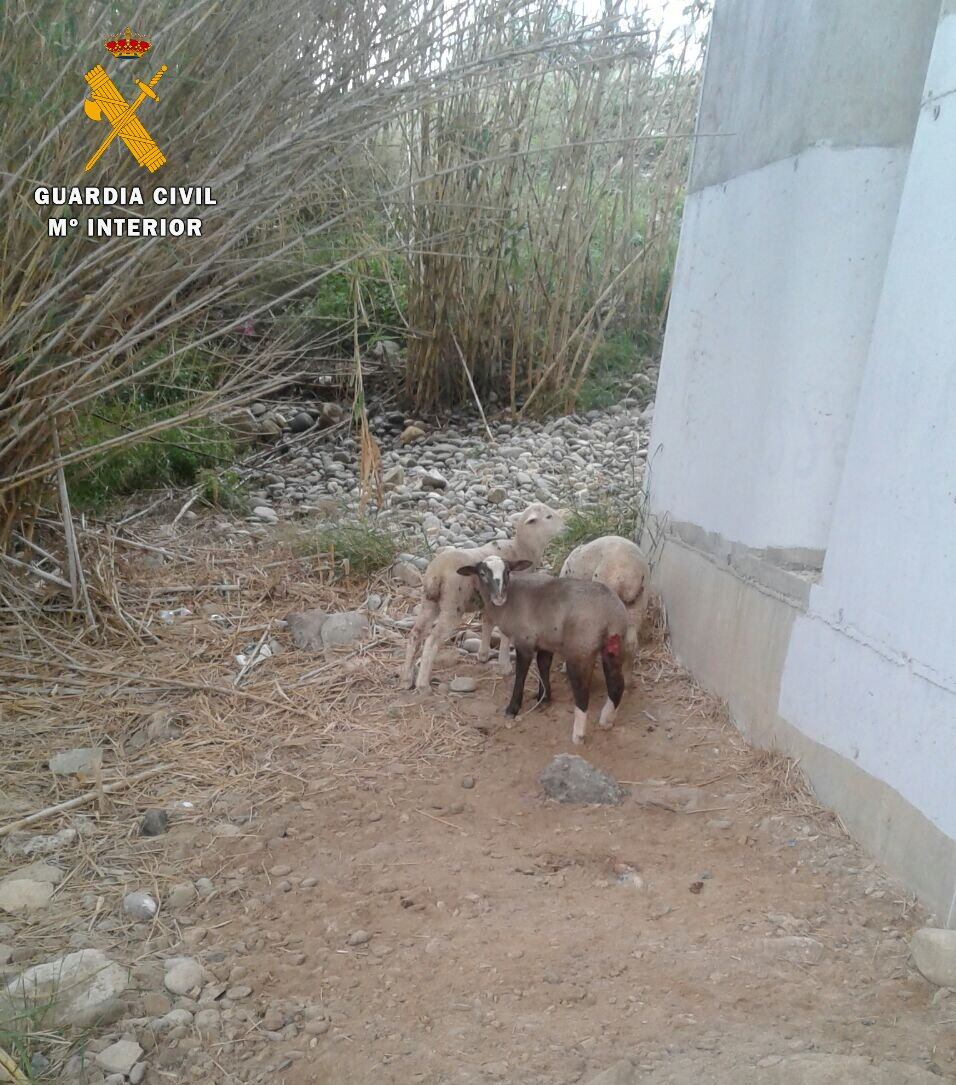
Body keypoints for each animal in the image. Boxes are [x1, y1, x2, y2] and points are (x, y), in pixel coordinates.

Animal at [400, 503, 565, 691]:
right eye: (548, 517)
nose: (566, 527)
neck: (522, 548)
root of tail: (436, 574)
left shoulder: (491, 601)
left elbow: (487, 623)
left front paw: (483, 655)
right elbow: (504, 633)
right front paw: (505, 665)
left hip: (429, 603)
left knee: (415, 634)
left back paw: (406, 679)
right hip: (452, 605)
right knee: (432, 640)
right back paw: (422, 684)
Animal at [456, 556, 628, 745]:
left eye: (507, 571)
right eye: (482, 573)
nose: (500, 597)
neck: (510, 600)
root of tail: (611, 615)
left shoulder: (525, 640)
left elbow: (521, 674)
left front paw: (513, 708)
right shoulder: (546, 641)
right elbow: (543, 666)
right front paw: (544, 698)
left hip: (580, 649)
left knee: (582, 691)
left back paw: (578, 735)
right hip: (614, 648)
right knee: (617, 684)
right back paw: (607, 720)